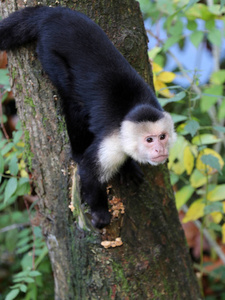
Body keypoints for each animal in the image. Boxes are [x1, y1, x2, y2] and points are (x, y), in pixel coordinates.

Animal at [0, 6, 176, 227]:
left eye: (162, 137)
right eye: (149, 140)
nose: (159, 149)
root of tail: (53, 13)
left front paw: (128, 168)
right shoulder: (112, 141)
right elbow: (89, 171)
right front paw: (100, 213)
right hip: (50, 52)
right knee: (73, 101)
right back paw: (77, 149)